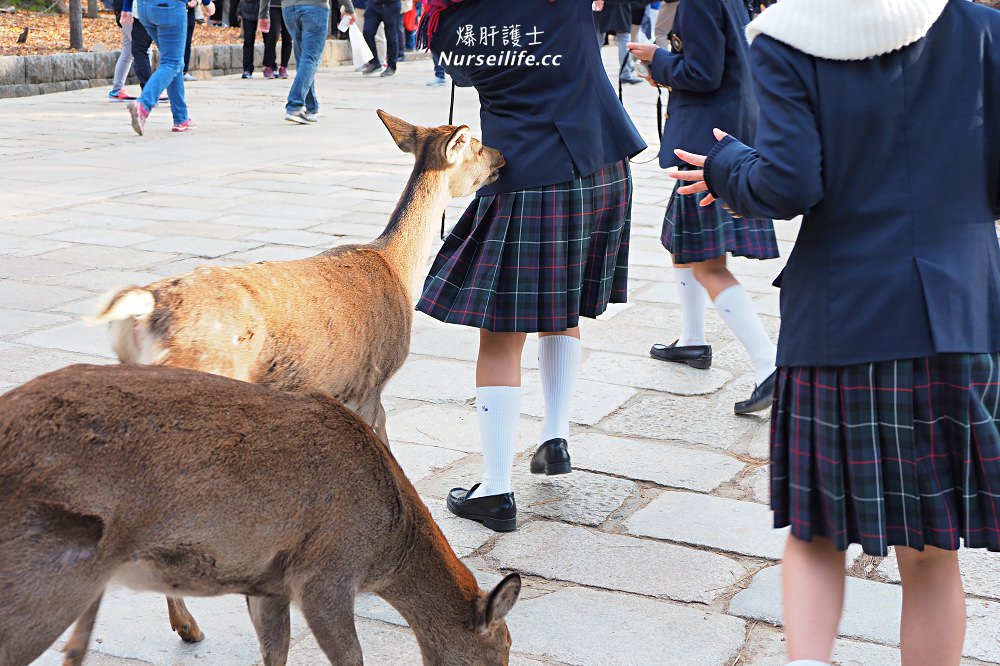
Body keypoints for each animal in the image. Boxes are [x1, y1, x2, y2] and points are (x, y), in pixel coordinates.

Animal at [1, 364, 524, 664]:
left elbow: (276, 652)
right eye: (502, 648)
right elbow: (351, 656)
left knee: (75, 649)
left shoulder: (267, 583)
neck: (385, 551)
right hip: (47, 575)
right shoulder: (325, 574)